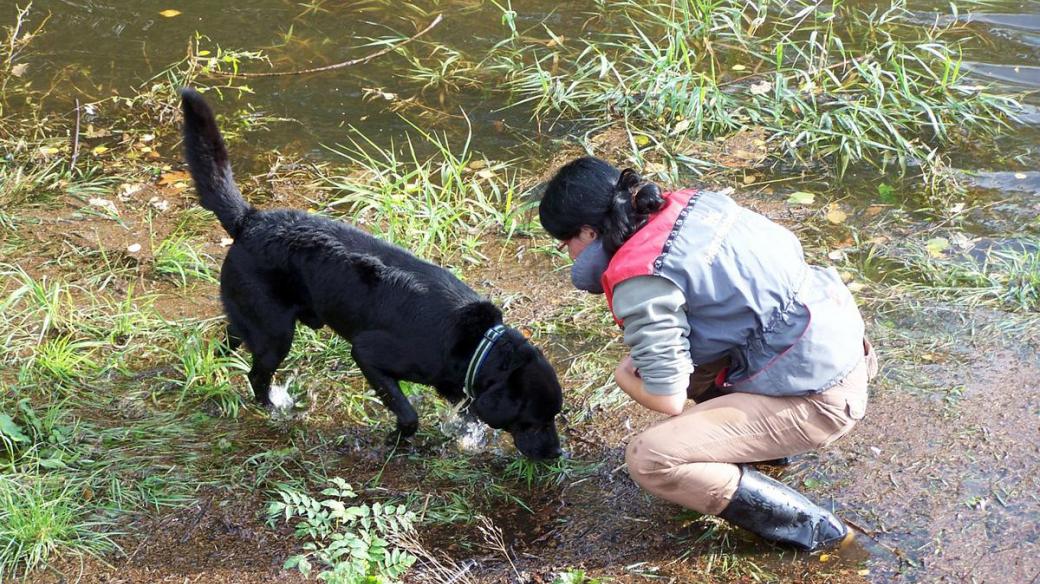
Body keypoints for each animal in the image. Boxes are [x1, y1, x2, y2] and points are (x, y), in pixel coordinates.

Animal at [183, 87, 565, 459]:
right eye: (536, 420)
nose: (557, 454)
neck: (477, 345)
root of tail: (249, 220)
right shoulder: (368, 354)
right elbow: (408, 413)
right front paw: (397, 439)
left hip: (254, 319)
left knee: (227, 339)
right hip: (276, 334)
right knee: (256, 375)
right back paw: (275, 409)